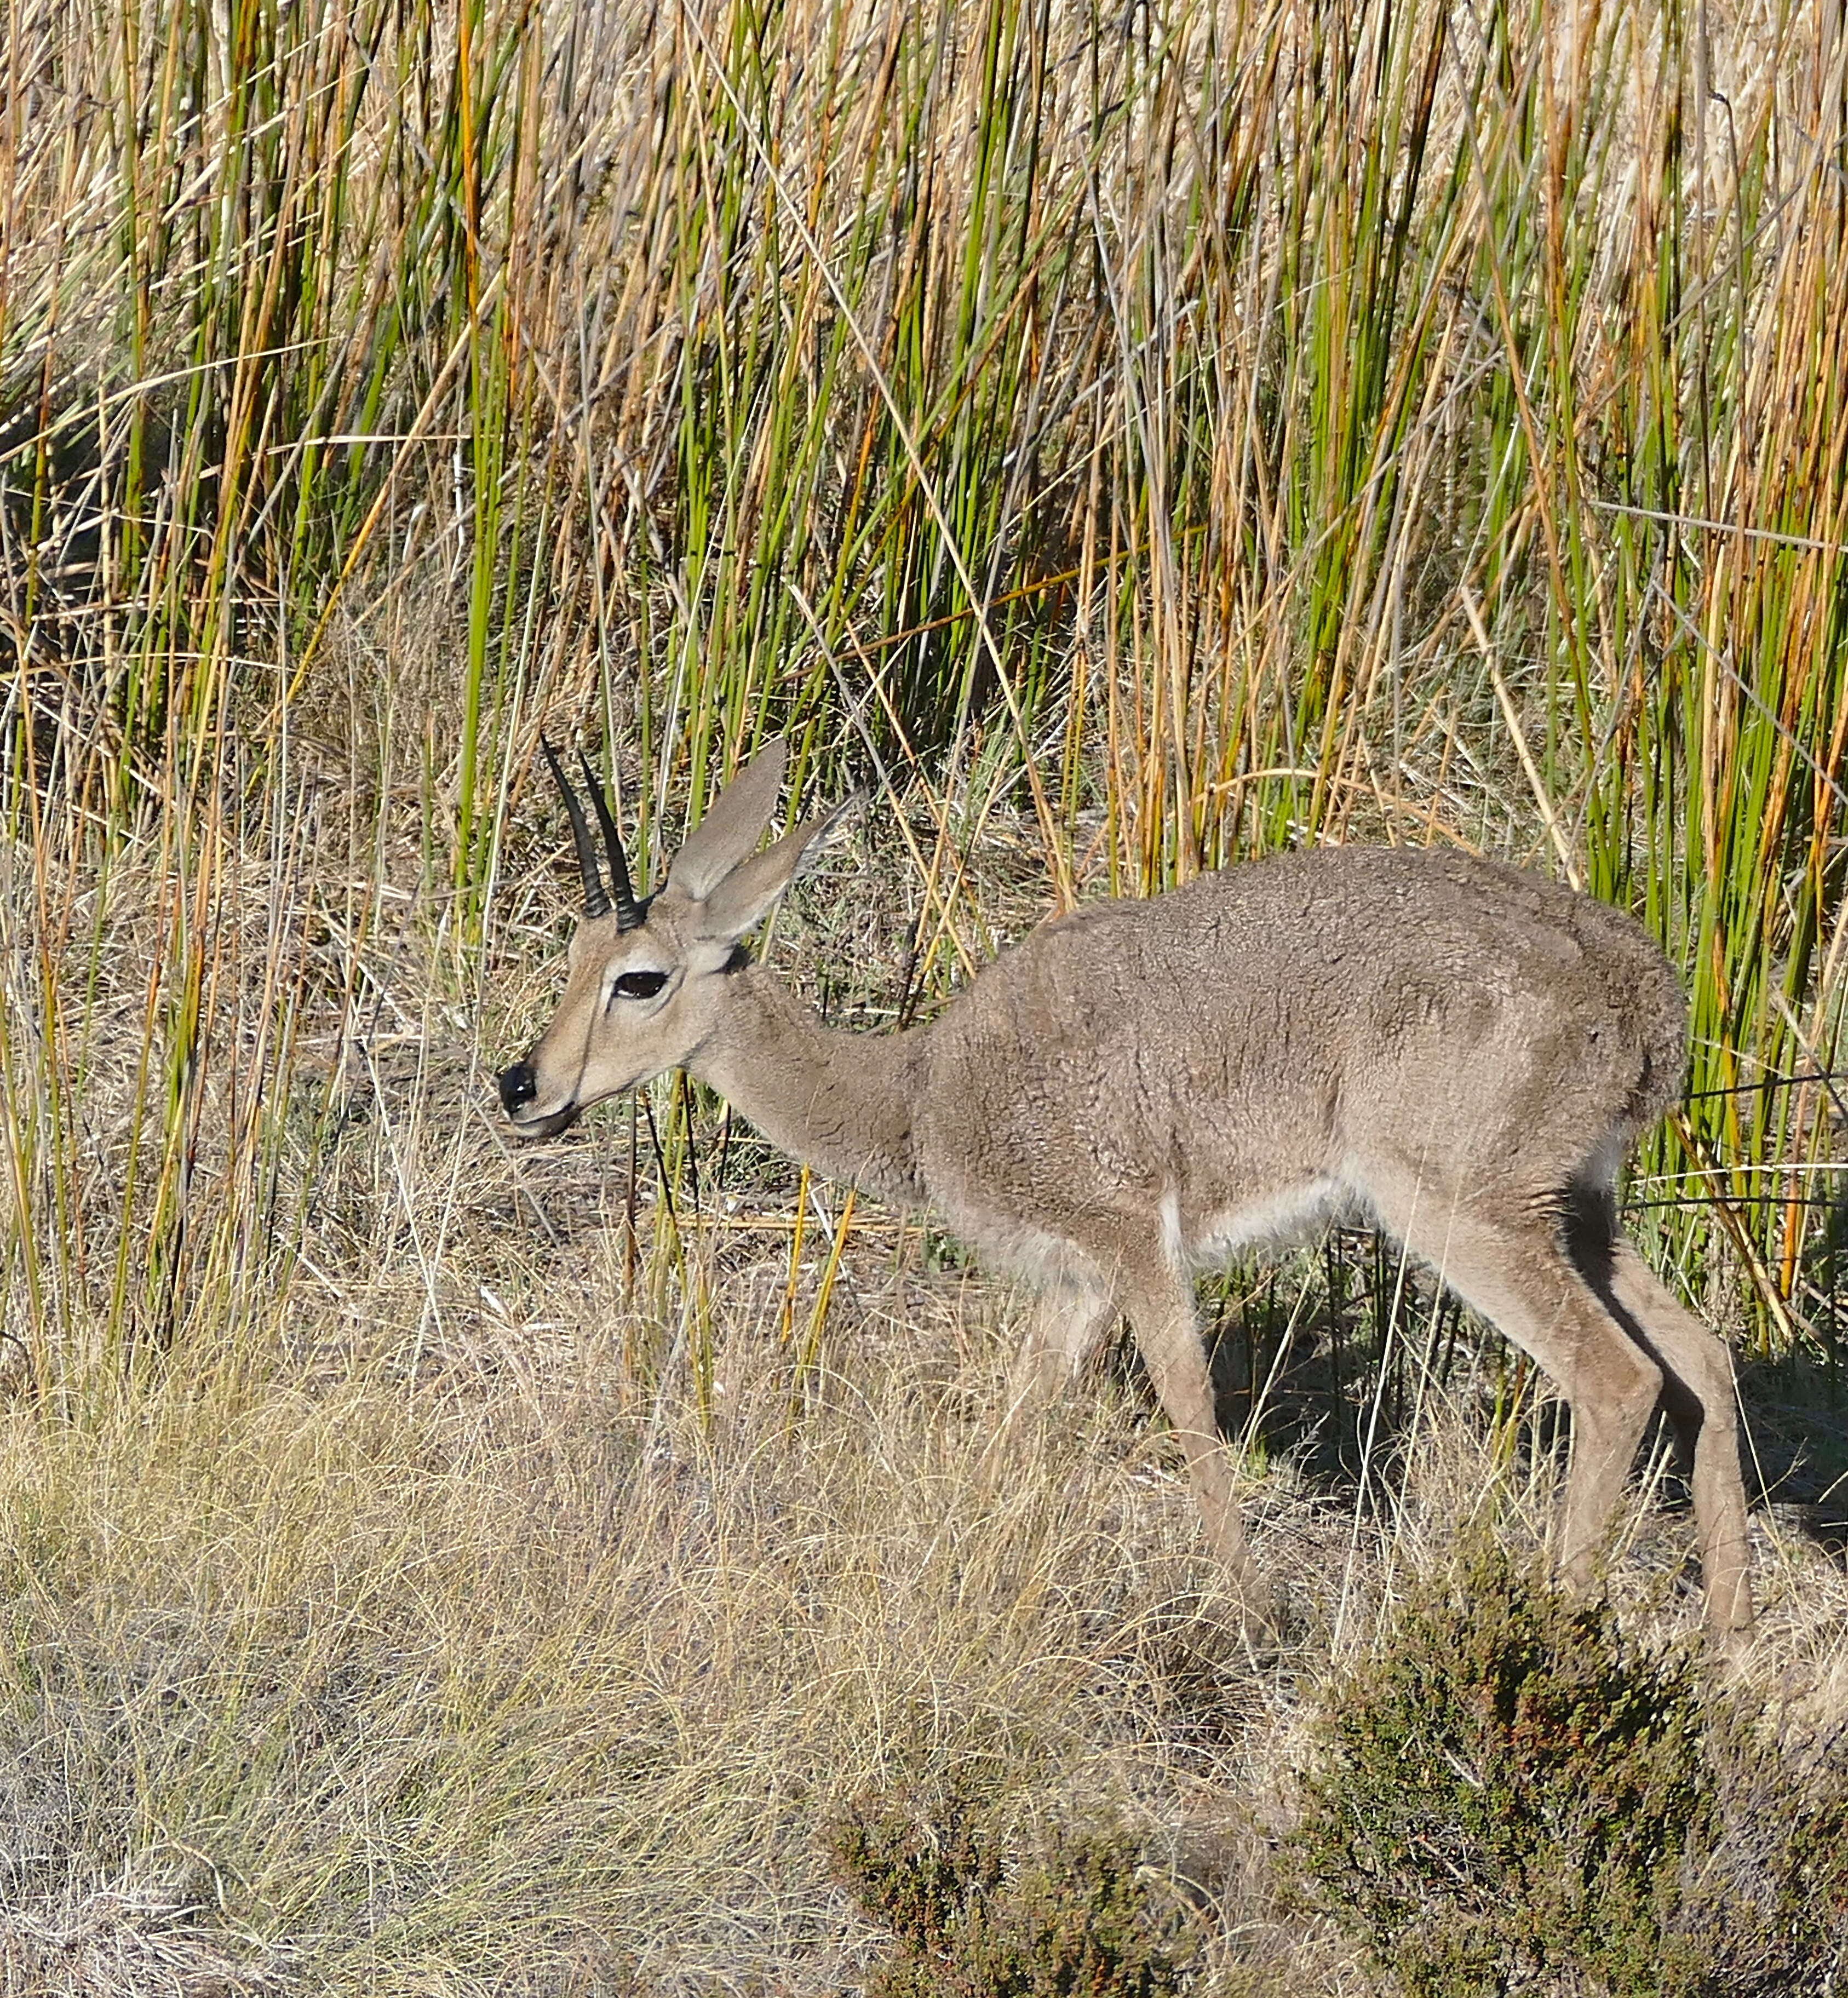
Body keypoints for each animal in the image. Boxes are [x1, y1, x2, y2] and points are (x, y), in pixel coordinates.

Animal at [497, 739, 1750, 1638]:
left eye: (638, 977)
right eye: (569, 954)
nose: (524, 1085)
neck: (917, 1090)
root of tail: (1643, 999)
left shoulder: (1133, 1241)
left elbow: (1190, 1401)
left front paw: (1250, 1605)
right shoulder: (1075, 1285)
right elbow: (1018, 1417)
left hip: (1464, 1216)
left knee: (1616, 1379)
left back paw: (1556, 1616)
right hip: (1579, 1214)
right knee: (1701, 1355)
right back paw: (1726, 1642)